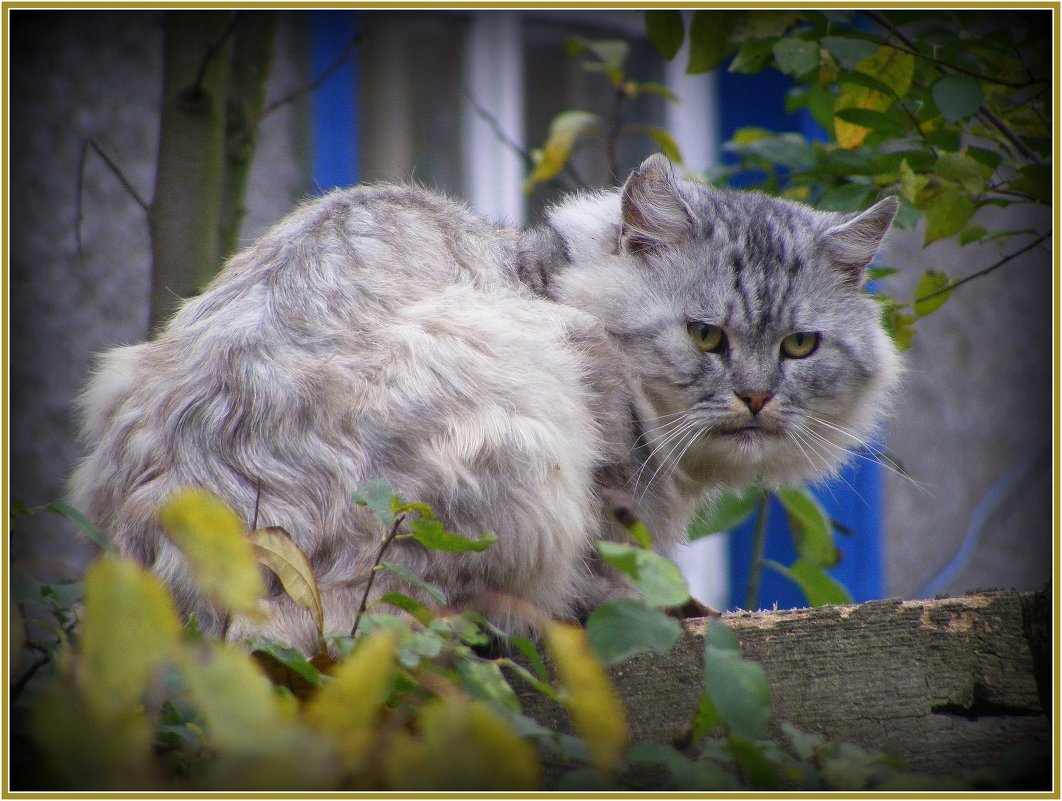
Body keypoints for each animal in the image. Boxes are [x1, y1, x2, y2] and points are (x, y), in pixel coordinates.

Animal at [68, 154, 896, 650]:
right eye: (706, 336)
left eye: (799, 346)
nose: (756, 396)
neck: (549, 277)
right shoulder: (599, 444)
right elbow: (616, 563)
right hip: (518, 420)